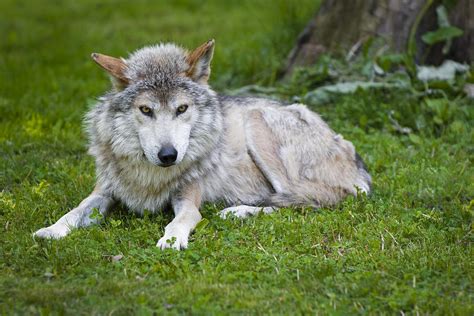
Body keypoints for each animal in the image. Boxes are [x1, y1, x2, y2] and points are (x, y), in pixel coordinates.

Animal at [35, 39, 372, 249]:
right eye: (146, 110)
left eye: (182, 108)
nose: (168, 155)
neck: (149, 177)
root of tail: (353, 154)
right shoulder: (104, 192)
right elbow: (73, 211)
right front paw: (50, 231)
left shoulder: (188, 200)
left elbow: (179, 222)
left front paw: (171, 241)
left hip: (257, 122)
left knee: (306, 201)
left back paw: (238, 211)